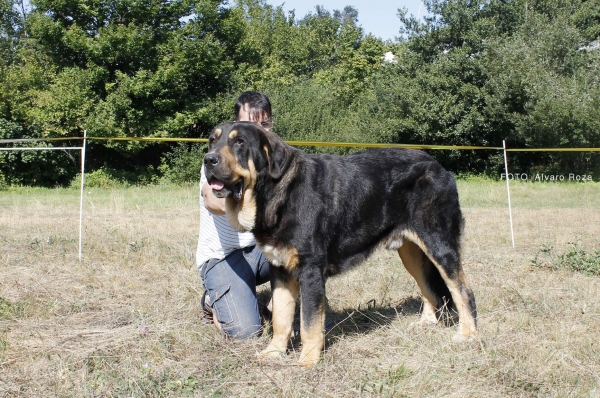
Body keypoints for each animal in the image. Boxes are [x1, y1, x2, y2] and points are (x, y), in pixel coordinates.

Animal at [204, 122, 476, 366]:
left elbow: (309, 323)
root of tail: (439, 167)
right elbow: (282, 318)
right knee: (429, 289)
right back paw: (425, 324)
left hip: (439, 245)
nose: (208, 160)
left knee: (463, 291)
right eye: (212, 140)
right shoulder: (279, 270)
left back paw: (467, 335)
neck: (275, 194)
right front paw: (274, 353)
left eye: (239, 142)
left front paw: (307, 361)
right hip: (411, 253)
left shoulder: (310, 271)